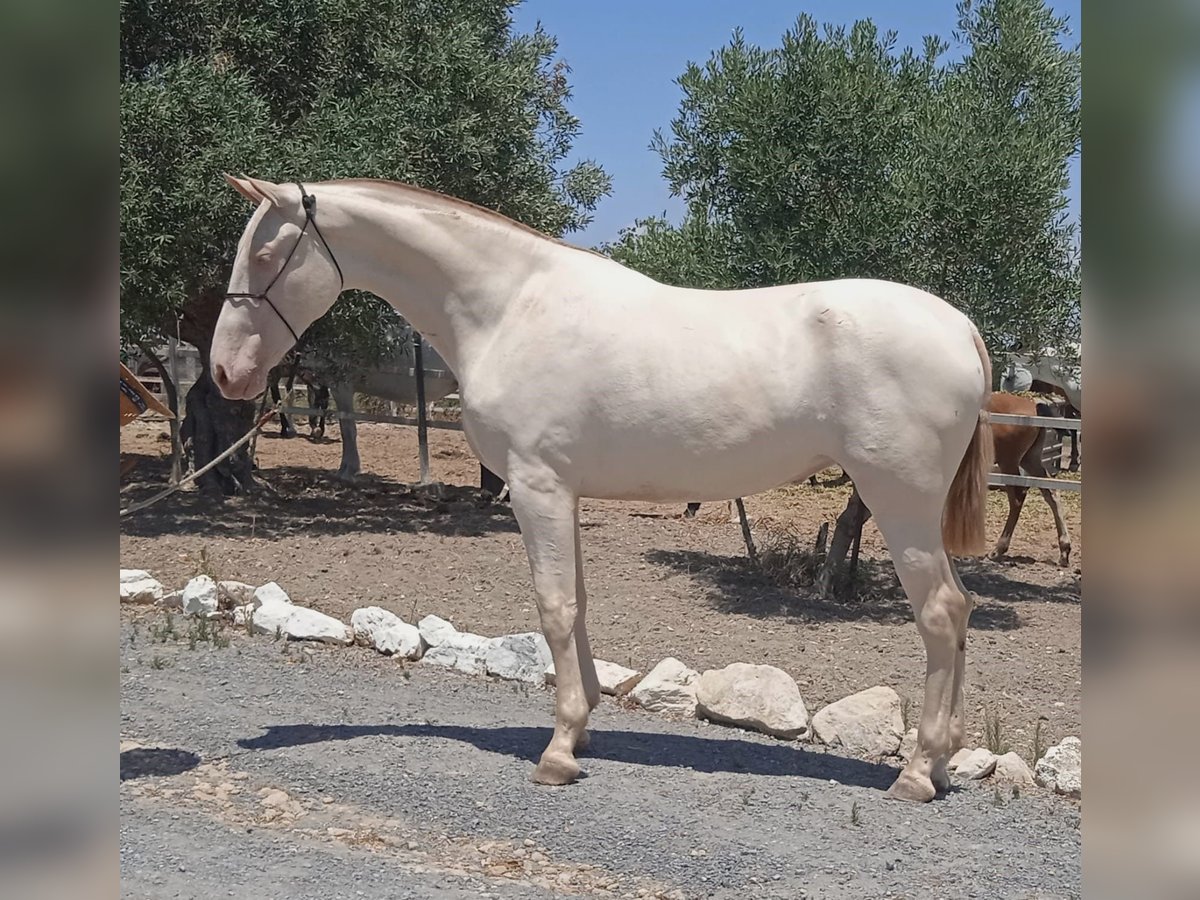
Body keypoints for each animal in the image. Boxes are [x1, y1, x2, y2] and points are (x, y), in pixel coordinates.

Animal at [213, 176, 993, 801]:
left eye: (264, 256)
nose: (226, 373)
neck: (510, 306)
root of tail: (960, 327)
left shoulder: (537, 488)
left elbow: (554, 608)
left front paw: (559, 751)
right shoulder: (563, 493)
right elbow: (577, 604)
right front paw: (583, 724)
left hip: (899, 502)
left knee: (940, 613)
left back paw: (917, 773)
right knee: (958, 612)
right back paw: (941, 761)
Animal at [988, 391, 1075, 566]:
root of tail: (1034, 407)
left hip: (1009, 463)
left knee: (1018, 498)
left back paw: (999, 549)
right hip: (1029, 460)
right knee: (1051, 493)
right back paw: (1064, 550)